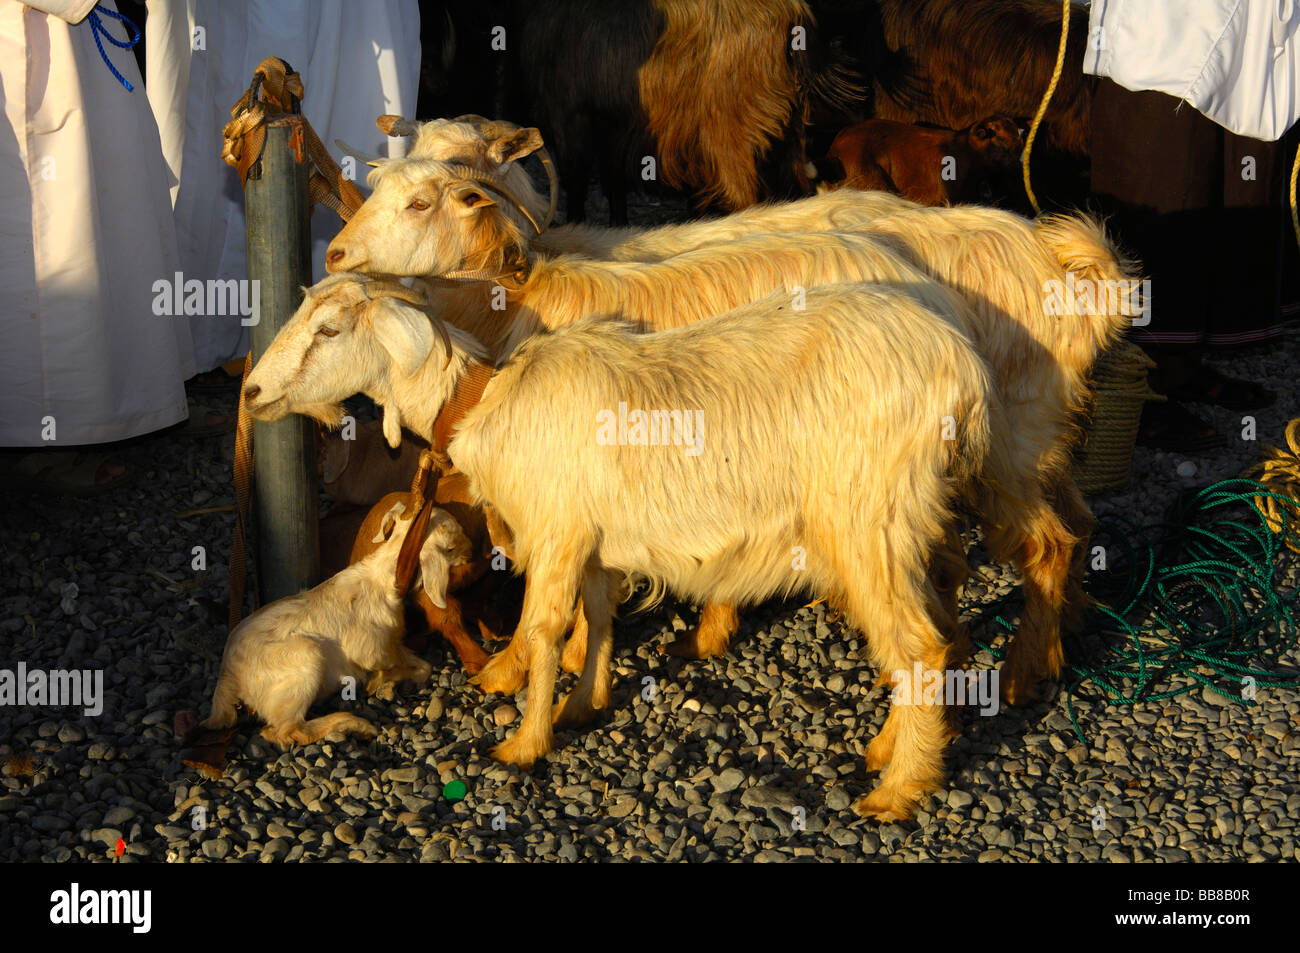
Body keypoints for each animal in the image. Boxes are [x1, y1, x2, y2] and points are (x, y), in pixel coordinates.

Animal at [200, 501, 470, 748]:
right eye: (451, 546)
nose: (472, 551)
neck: (380, 580)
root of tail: (229, 676)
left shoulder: (392, 644)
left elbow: (422, 664)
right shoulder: (372, 649)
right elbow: (411, 667)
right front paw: (378, 681)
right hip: (306, 661)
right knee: (285, 730)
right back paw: (354, 724)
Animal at [245, 280, 993, 816]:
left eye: (329, 329)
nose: (251, 391)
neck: (493, 403)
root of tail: (967, 371)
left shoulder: (555, 528)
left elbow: (544, 627)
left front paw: (524, 744)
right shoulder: (593, 537)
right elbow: (599, 615)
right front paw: (584, 705)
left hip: (869, 520)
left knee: (917, 643)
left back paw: (901, 788)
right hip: (906, 525)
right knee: (936, 632)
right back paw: (894, 750)